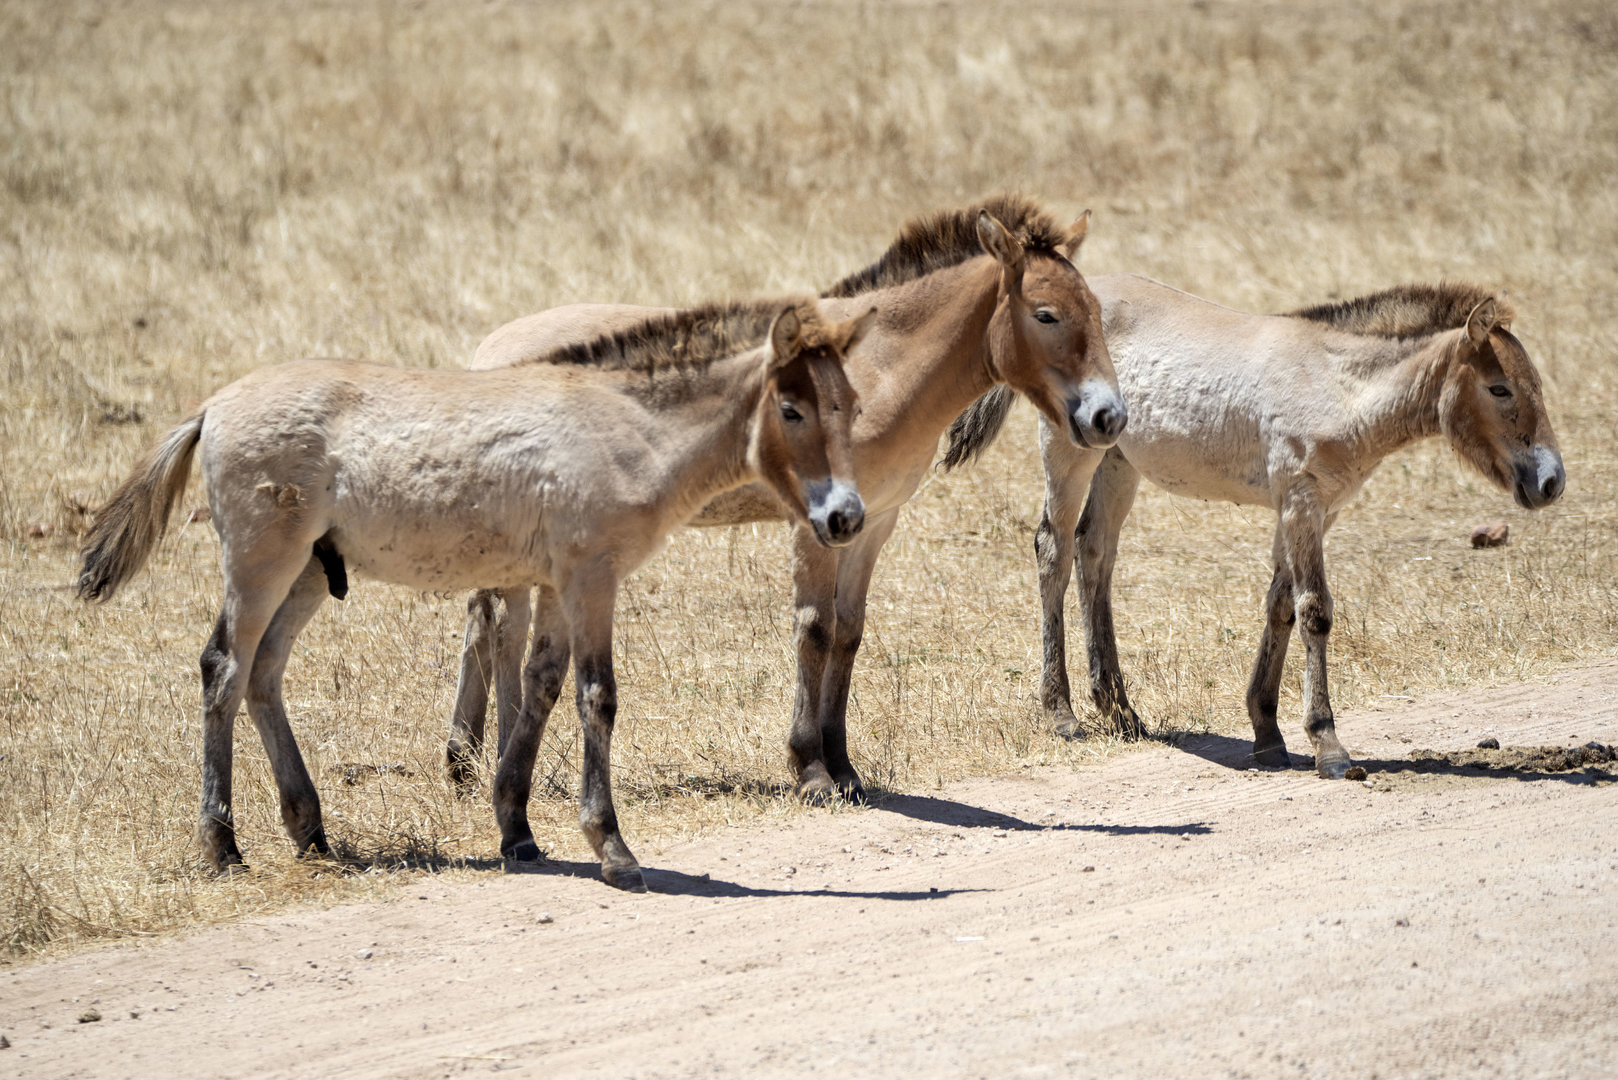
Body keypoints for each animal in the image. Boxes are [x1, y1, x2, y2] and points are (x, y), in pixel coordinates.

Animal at [77, 300, 874, 892]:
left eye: (851, 403)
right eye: (792, 409)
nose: (846, 517)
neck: (623, 427)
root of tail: (212, 405)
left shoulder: (556, 583)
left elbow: (541, 685)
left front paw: (516, 829)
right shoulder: (592, 577)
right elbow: (597, 696)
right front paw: (611, 846)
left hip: (306, 573)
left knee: (263, 675)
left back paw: (312, 833)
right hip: (259, 565)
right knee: (223, 669)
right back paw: (222, 847)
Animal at [448, 197, 1126, 803]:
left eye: (1097, 309)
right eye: (1046, 314)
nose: (1109, 417)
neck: (881, 368)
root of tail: (487, 352)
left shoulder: (873, 522)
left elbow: (849, 630)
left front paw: (844, 766)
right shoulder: (815, 523)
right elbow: (815, 628)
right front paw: (810, 768)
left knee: (487, 621)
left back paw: (467, 761)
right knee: (499, 624)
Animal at [942, 274, 1565, 778]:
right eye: (1500, 389)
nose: (1552, 481)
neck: (1338, 386)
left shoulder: (1316, 509)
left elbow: (1280, 604)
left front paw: (1267, 731)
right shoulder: (1302, 502)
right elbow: (1315, 612)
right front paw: (1328, 745)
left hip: (1118, 461)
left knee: (1094, 554)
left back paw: (1120, 710)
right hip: (1070, 452)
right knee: (1053, 550)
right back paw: (1062, 713)